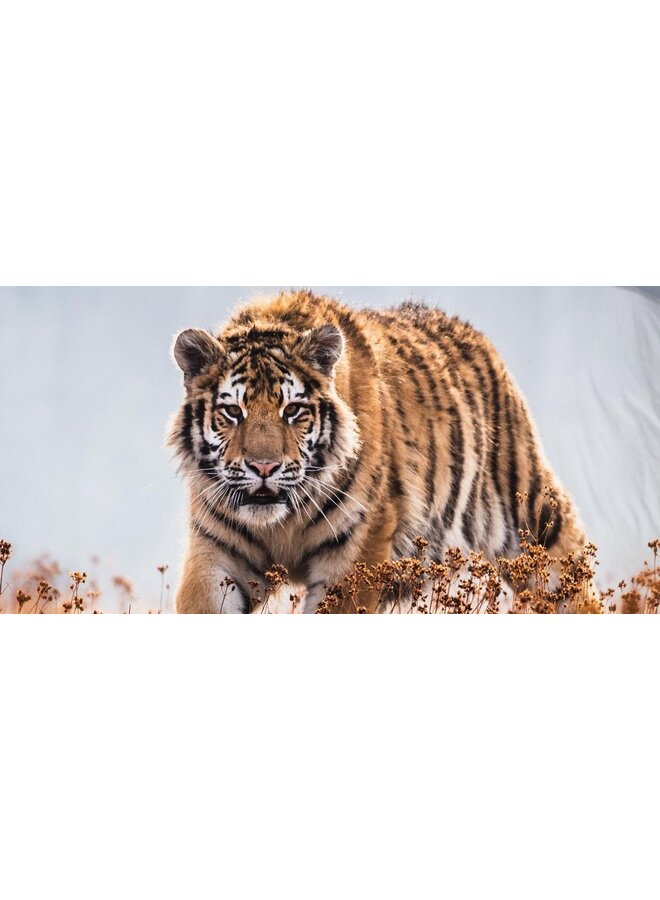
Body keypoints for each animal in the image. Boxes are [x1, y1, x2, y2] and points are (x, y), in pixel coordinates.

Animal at [168, 289, 589, 613]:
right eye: (232, 412)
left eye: (293, 411)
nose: (263, 467)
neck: (281, 524)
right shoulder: (215, 553)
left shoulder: (354, 555)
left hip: (535, 523)